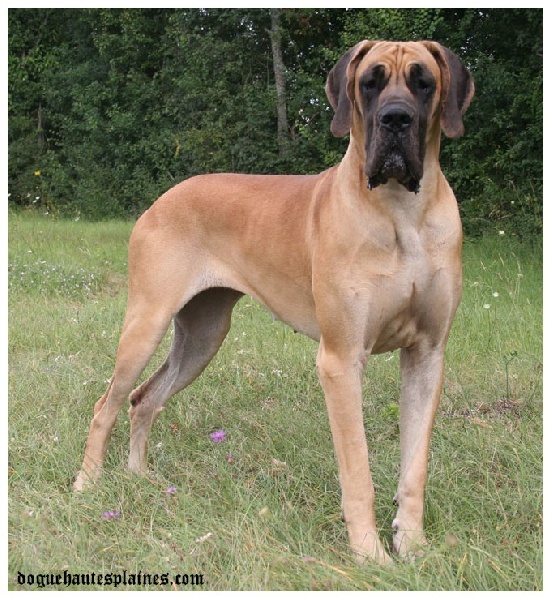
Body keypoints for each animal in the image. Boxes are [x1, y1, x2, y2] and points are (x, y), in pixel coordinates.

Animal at [74, 40, 474, 564]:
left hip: (203, 335)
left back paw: (140, 477)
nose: (395, 120)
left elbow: (415, 467)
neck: (401, 215)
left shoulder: (427, 356)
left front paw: (413, 545)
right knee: (108, 403)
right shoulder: (341, 360)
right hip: (147, 323)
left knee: (145, 400)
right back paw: (87, 483)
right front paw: (369, 554)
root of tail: (163, 198)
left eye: (423, 81)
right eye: (370, 82)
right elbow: (358, 470)